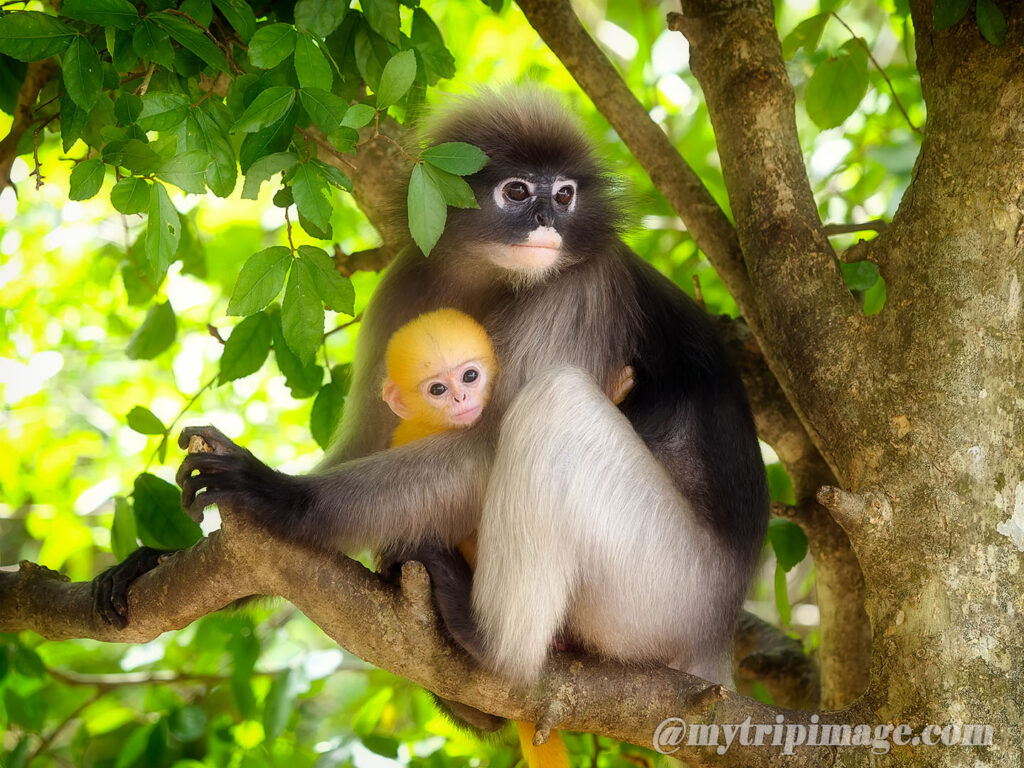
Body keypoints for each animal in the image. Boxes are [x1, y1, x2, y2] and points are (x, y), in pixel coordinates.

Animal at [96, 88, 768, 736]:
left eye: (565, 195)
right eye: (518, 191)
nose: (548, 220)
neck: (489, 274)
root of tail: (718, 636)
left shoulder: (581, 287)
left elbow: (482, 451)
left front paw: (275, 493)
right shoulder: (408, 280)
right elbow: (367, 442)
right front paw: (155, 559)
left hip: (663, 593)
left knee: (554, 405)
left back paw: (489, 645)